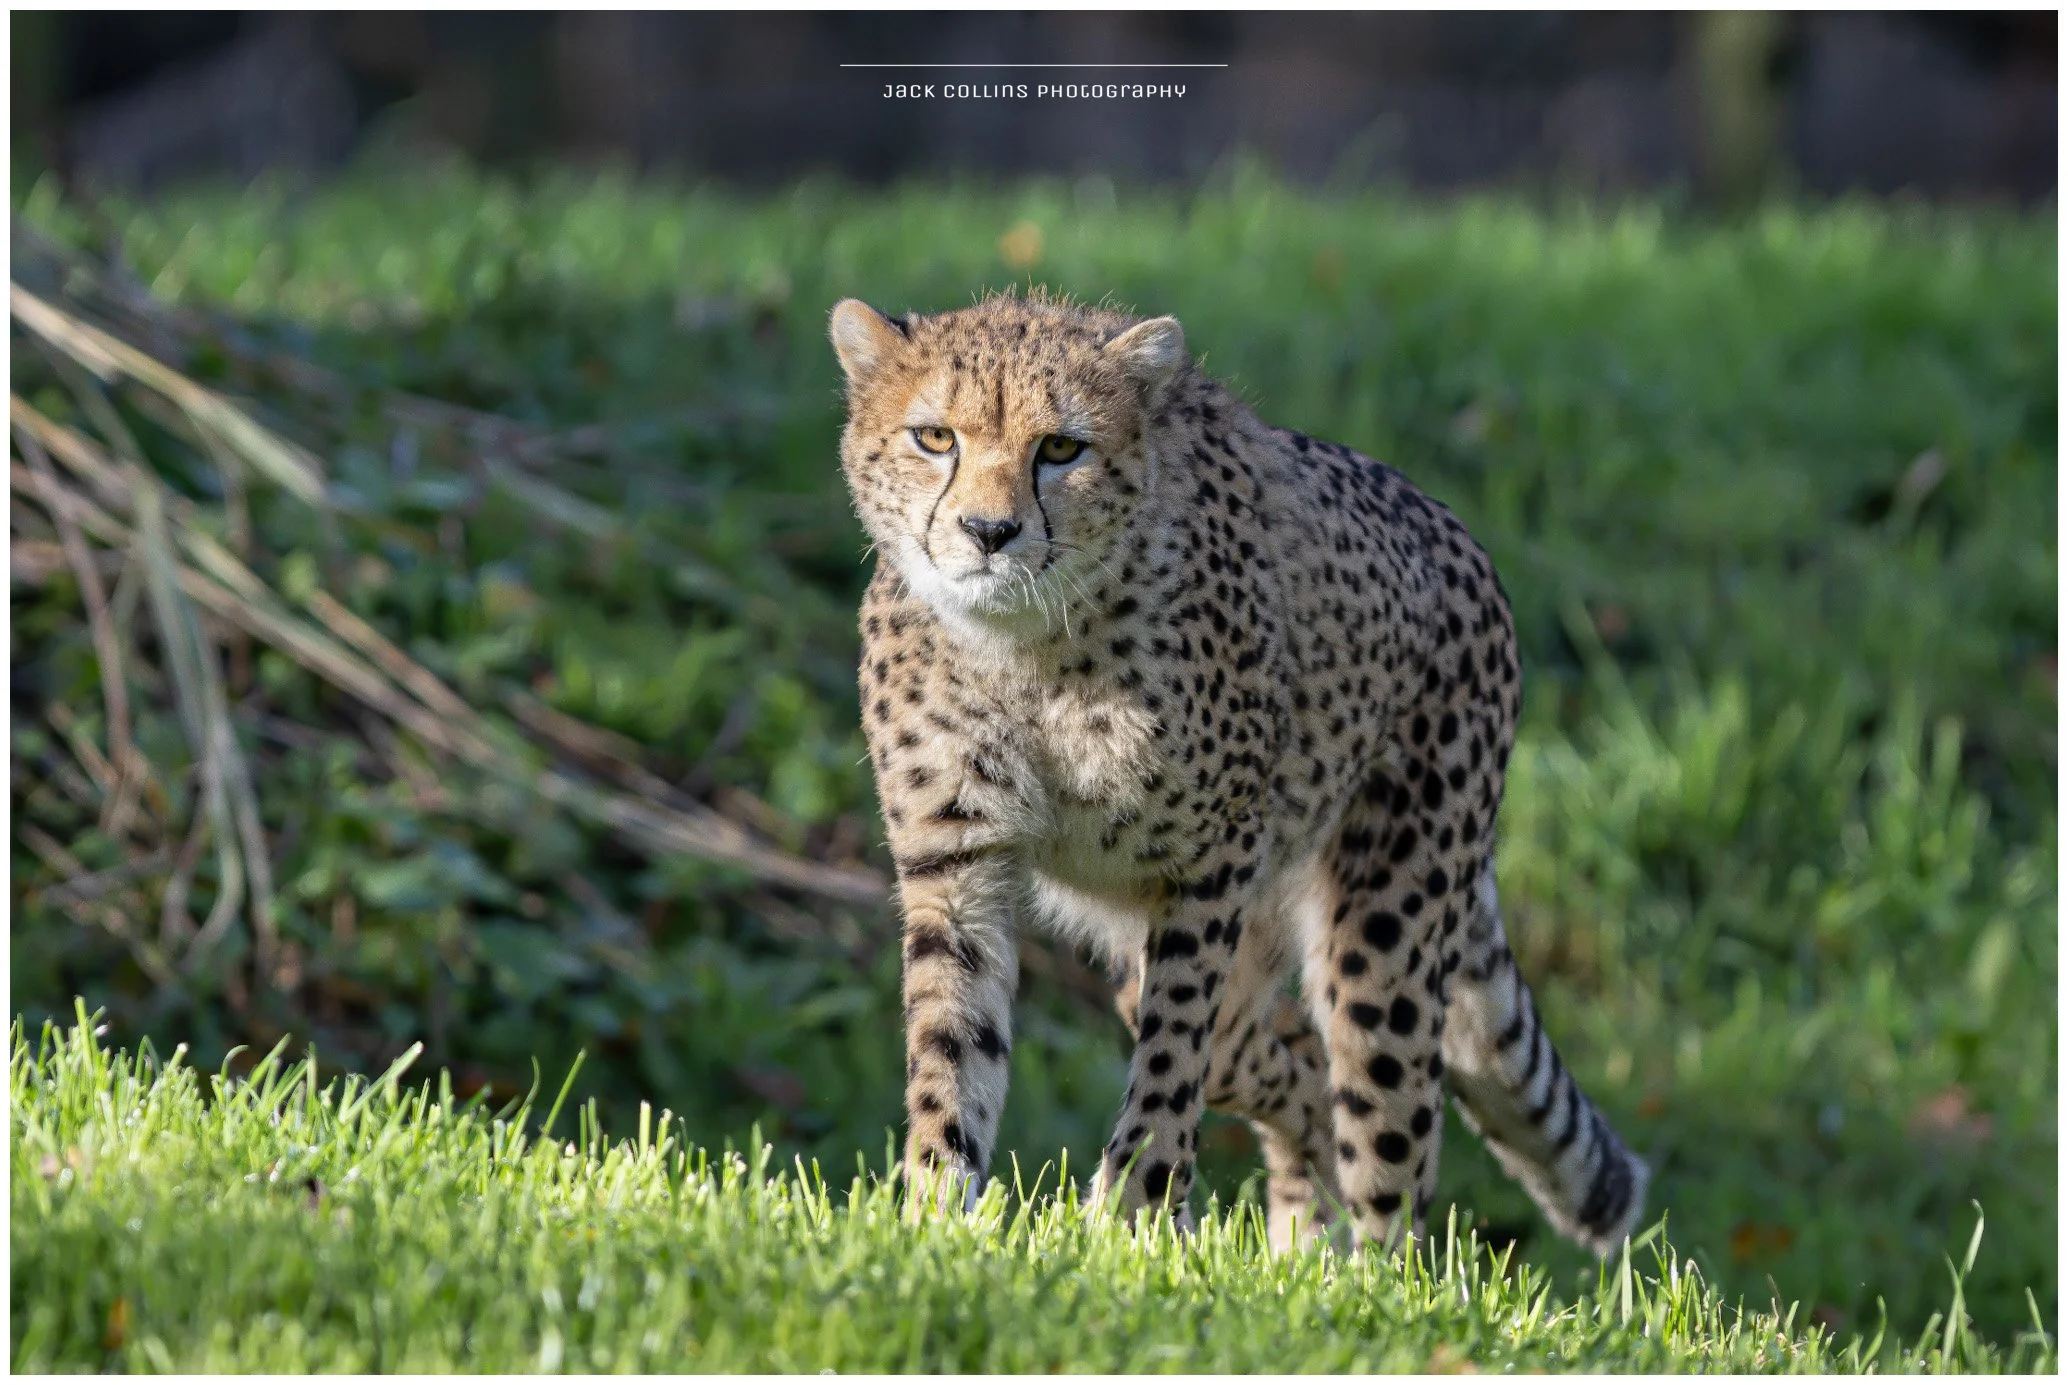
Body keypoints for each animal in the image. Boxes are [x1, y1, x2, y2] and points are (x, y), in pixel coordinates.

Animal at [830, 289, 1648, 1258]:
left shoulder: (1211, 861)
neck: (1025, 646)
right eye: (935, 438)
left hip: (1385, 914)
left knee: (1382, 1126)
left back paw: (1370, 1274)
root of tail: (1458, 536)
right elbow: (952, 1045)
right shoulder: (956, 863)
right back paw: (1301, 1232)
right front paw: (934, 1215)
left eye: (1061, 448)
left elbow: (1175, 1049)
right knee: (1274, 1050)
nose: (989, 532)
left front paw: (1137, 1213)